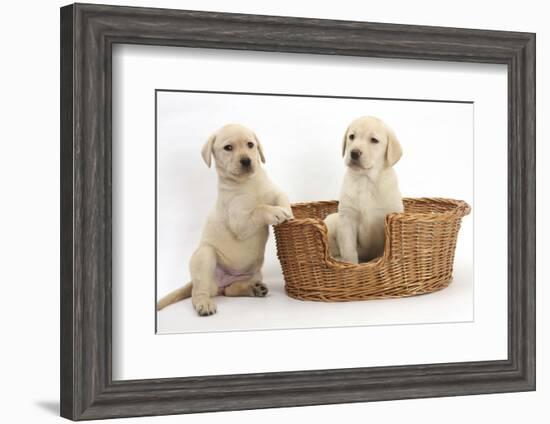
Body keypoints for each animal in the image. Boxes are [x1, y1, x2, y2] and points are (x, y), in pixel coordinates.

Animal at [157, 122, 296, 314]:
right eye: (228, 148)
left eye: (250, 145)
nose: (246, 161)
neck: (248, 182)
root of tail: (223, 281)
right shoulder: (239, 222)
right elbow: (260, 208)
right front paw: (275, 213)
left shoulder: (275, 191)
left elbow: (281, 198)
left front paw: (288, 213)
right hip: (205, 256)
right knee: (198, 292)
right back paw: (204, 304)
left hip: (254, 273)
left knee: (230, 290)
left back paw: (253, 289)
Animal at [324, 114, 406, 264]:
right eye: (351, 137)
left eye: (374, 140)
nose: (354, 153)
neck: (366, 180)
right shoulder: (347, 219)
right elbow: (348, 249)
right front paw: (351, 265)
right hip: (332, 221)